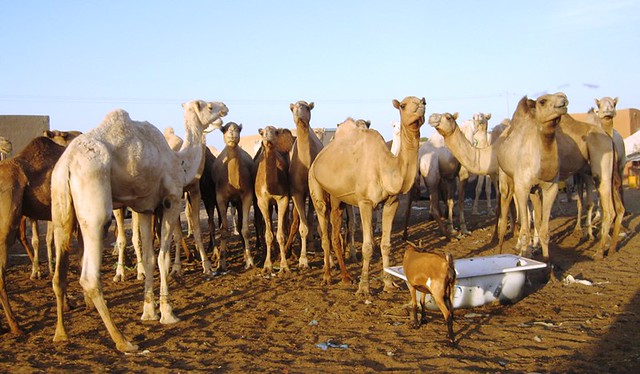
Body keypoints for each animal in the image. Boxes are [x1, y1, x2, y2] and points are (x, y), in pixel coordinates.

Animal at [51, 99, 229, 350]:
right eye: (208, 106)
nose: (224, 107)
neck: (180, 162)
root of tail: (66, 164)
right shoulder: (171, 200)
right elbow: (163, 257)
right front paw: (168, 313)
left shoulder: (144, 209)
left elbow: (148, 258)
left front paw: (148, 312)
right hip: (95, 201)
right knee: (89, 277)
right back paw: (123, 342)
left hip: (60, 208)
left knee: (59, 274)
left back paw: (60, 334)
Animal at [212, 121, 258, 270]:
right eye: (224, 129)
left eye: (238, 129)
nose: (232, 133)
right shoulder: (220, 197)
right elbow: (224, 230)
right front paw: (221, 263)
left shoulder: (247, 195)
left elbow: (245, 230)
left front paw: (250, 261)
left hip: (238, 201)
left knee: (240, 223)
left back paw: (244, 255)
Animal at [254, 125, 296, 274]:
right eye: (262, 133)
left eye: (276, 132)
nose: (268, 141)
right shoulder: (262, 201)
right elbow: (269, 235)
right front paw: (267, 265)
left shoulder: (283, 199)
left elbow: (280, 235)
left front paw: (284, 266)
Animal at [310, 96, 424, 296]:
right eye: (403, 105)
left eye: (425, 102)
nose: (420, 108)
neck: (386, 166)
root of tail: (317, 159)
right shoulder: (365, 202)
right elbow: (368, 247)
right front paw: (364, 288)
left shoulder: (392, 202)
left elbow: (385, 244)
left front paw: (388, 284)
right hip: (315, 185)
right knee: (324, 230)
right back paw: (327, 277)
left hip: (337, 199)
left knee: (335, 232)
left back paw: (346, 277)